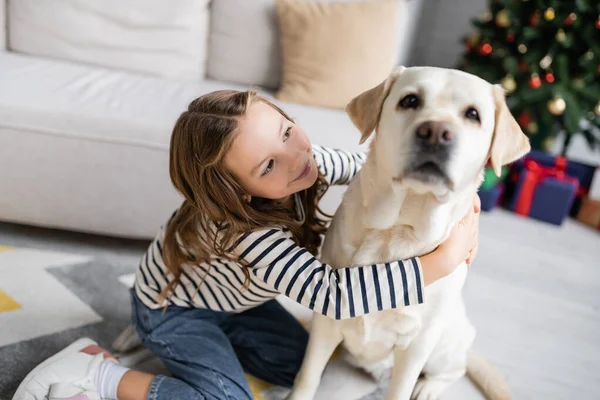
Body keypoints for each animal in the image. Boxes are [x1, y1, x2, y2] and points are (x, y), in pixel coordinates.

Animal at [286, 66, 528, 400]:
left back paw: (427, 387)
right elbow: (308, 375)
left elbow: (401, 388)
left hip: (444, 348)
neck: (397, 228)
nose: (436, 132)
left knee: (456, 369)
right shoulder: (327, 321)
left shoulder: (416, 345)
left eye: (473, 114)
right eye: (410, 100)